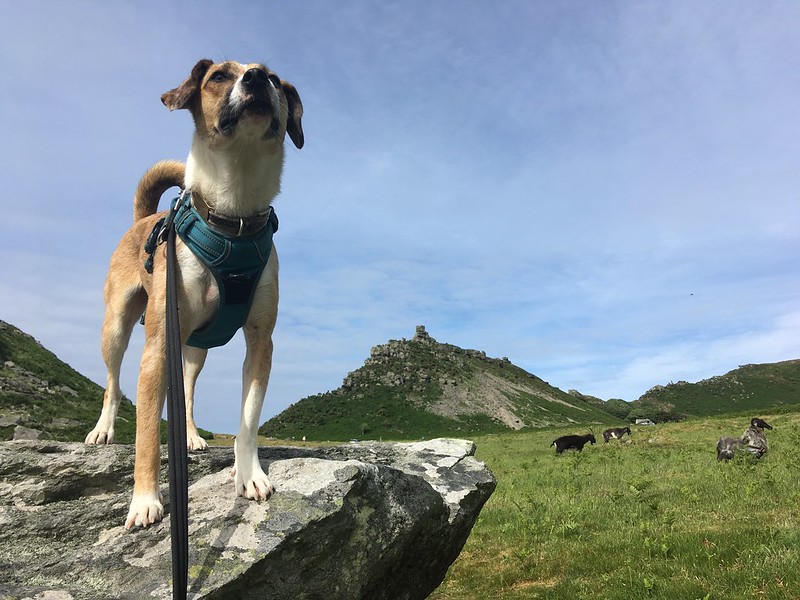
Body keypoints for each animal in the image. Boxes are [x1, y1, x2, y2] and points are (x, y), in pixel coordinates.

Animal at [84, 58, 304, 528]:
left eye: (275, 79)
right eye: (219, 75)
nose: (256, 77)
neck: (234, 213)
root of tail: (145, 218)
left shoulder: (261, 341)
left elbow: (248, 420)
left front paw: (249, 474)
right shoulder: (156, 346)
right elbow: (148, 432)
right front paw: (144, 499)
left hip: (194, 348)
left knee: (184, 391)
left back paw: (190, 437)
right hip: (117, 326)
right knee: (112, 383)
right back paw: (103, 429)